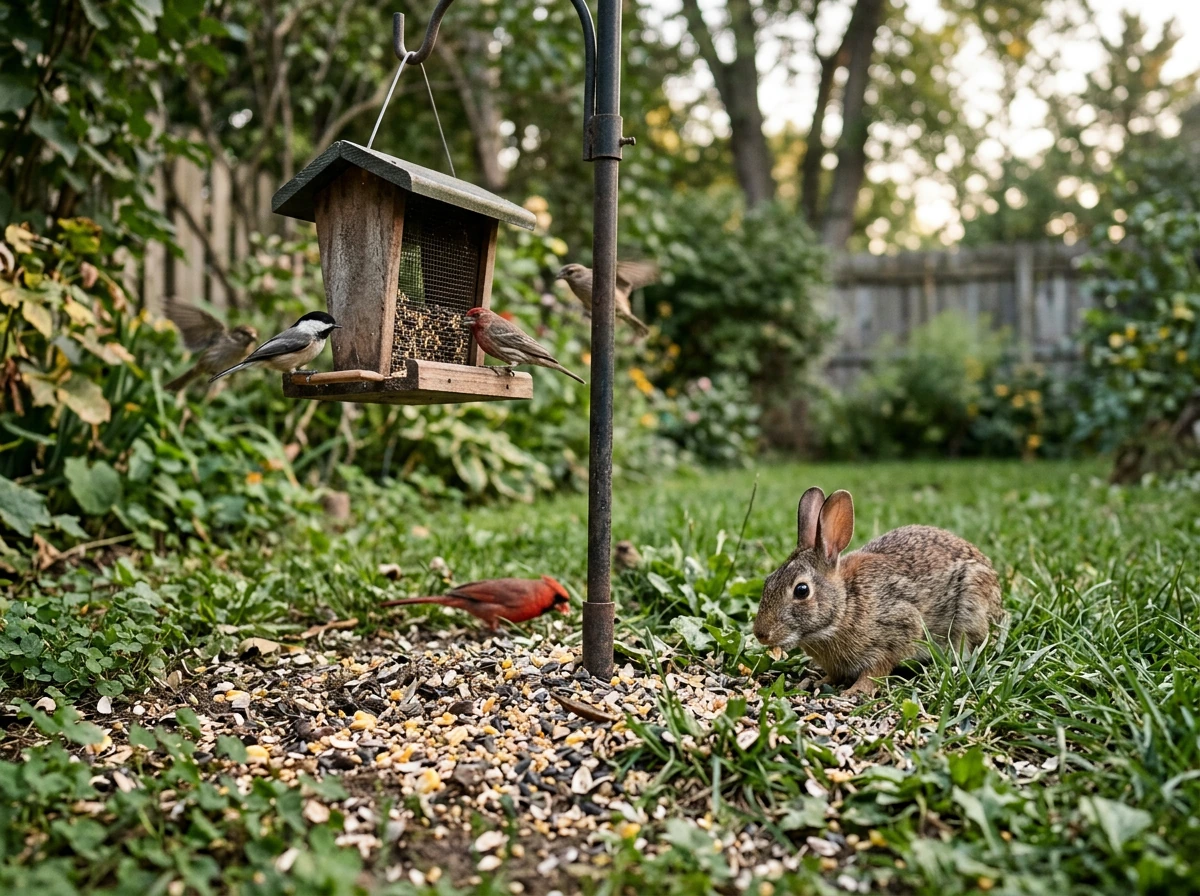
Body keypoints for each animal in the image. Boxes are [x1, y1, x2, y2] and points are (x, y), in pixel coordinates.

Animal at [753, 487, 1004, 698]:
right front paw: (818, 682)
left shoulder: (897, 630)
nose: (760, 634)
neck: (846, 605)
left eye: (801, 590)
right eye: (768, 581)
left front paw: (855, 691)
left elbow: (876, 670)